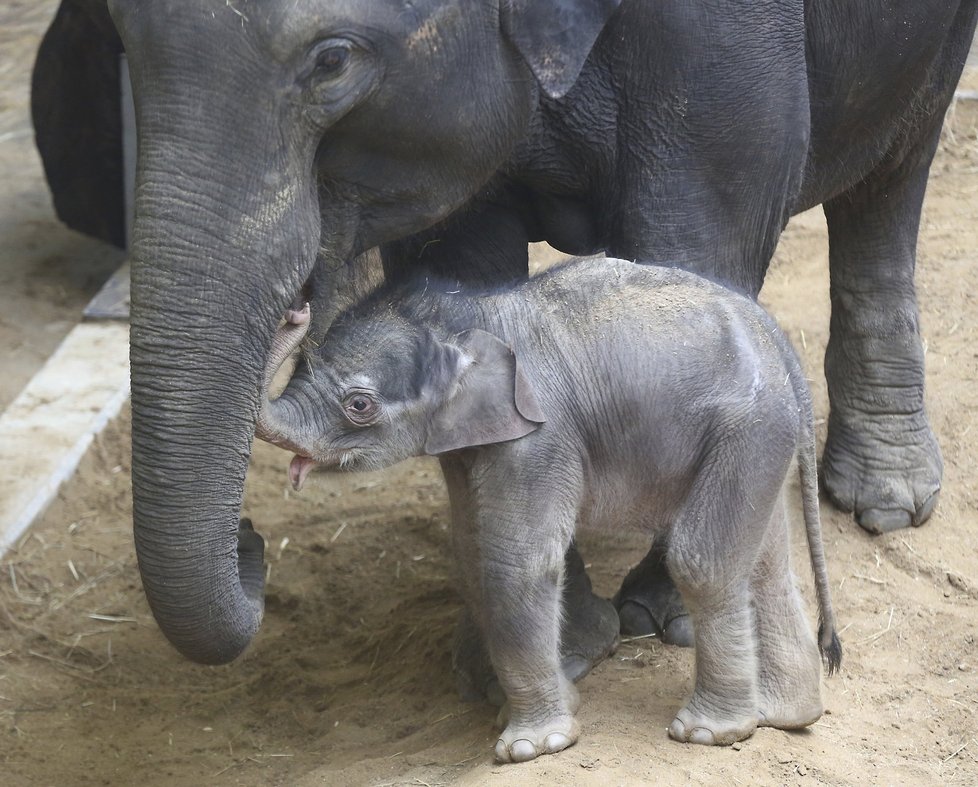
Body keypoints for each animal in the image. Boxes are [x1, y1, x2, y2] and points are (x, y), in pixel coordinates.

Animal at [34, 0, 972, 668]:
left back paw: (884, 503)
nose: (253, 539)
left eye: (333, 60)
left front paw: (661, 616)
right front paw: (538, 645)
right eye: (116, 36)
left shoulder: (727, 51)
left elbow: (694, 245)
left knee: (892, 178)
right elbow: (458, 266)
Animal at [254, 258, 840, 764]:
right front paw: (544, 711)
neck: (470, 315)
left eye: (359, 405)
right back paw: (785, 717)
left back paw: (708, 732)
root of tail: (781, 345)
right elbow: (470, 555)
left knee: (704, 561)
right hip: (761, 438)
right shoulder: (468, 447)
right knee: (765, 563)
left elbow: (513, 565)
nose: (296, 308)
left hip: (746, 430)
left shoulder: (539, 438)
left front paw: (530, 748)